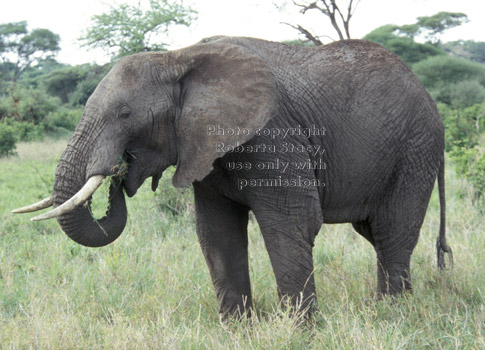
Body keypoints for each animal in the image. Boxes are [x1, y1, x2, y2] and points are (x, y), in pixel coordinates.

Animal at [16, 36, 454, 320]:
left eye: (125, 115)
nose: (118, 172)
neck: (178, 57)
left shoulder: (271, 135)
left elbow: (292, 224)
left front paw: (301, 331)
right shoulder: (205, 148)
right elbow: (216, 231)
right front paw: (238, 330)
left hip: (415, 148)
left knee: (393, 230)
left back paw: (392, 314)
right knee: (375, 233)